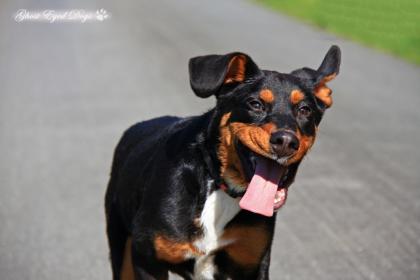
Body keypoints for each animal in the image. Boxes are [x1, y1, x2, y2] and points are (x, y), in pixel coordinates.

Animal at [105, 46, 342, 280]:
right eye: (255, 104)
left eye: (305, 109)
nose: (285, 141)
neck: (221, 188)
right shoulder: (147, 260)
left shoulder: (252, 264)